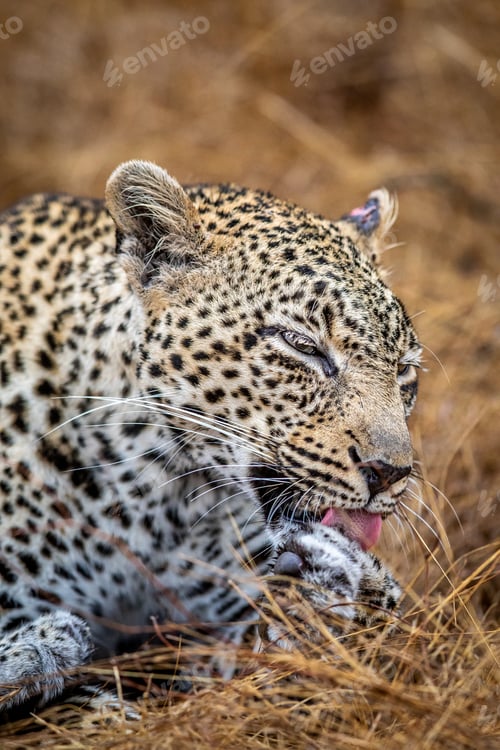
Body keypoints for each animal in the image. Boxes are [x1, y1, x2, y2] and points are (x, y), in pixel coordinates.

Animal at [0, 160, 422, 715]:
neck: (160, 496)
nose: (390, 472)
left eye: (405, 371)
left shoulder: (215, 636)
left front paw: (343, 587)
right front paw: (45, 649)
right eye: (301, 345)